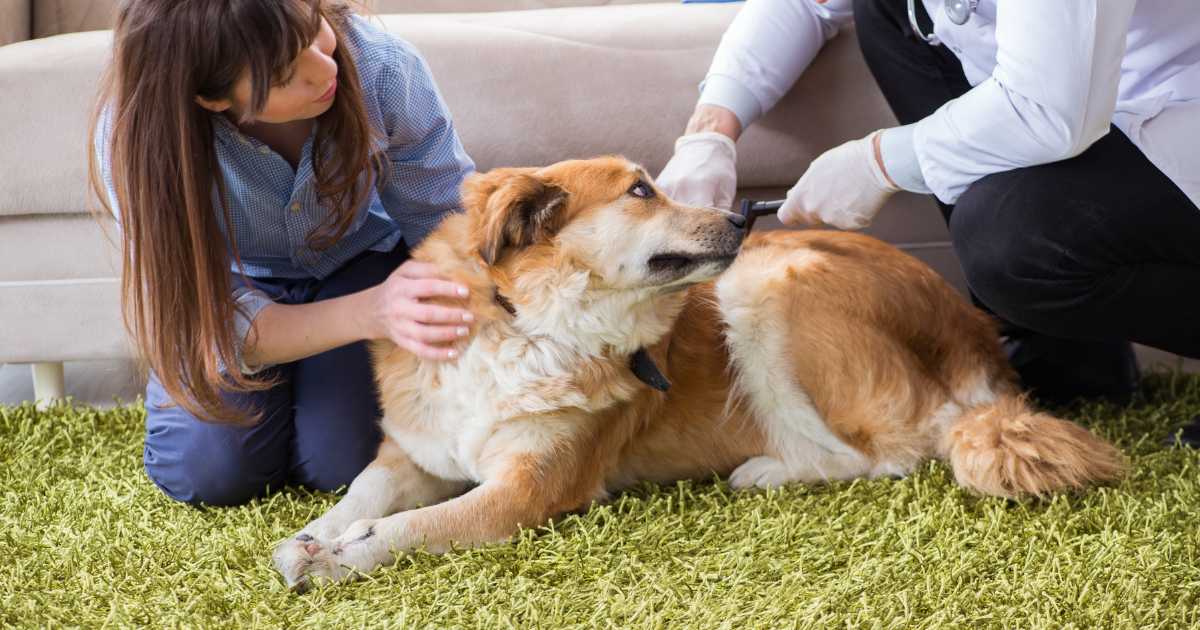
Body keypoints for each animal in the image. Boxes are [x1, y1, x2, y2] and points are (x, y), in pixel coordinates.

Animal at [272, 154, 1123, 588]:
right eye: (641, 191)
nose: (746, 216)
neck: (524, 320)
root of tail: (970, 329)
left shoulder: (531, 487)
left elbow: (420, 526)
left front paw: (350, 553)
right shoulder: (412, 451)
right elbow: (361, 494)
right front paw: (311, 538)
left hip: (768, 289)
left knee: (890, 453)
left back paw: (765, 471)